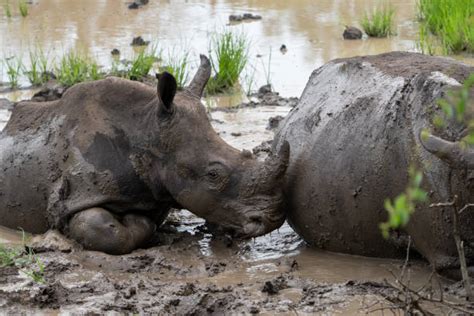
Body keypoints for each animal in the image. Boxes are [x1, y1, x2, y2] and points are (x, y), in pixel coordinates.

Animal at [0, 55, 288, 256]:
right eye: (213, 174)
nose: (273, 217)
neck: (144, 131)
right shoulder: (73, 199)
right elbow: (103, 230)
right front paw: (138, 221)